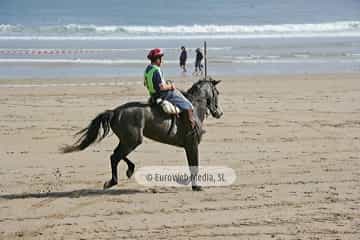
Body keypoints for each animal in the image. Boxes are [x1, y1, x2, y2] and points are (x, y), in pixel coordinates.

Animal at [62, 79, 222, 191]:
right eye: (217, 93)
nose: (219, 113)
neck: (194, 107)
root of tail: (115, 111)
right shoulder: (192, 144)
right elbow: (194, 164)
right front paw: (196, 186)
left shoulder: (190, 146)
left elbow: (192, 164)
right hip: (133, 141)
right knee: (115, 156)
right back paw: (113, 181)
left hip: (128, 140)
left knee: (116, 154)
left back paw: (128, 170)